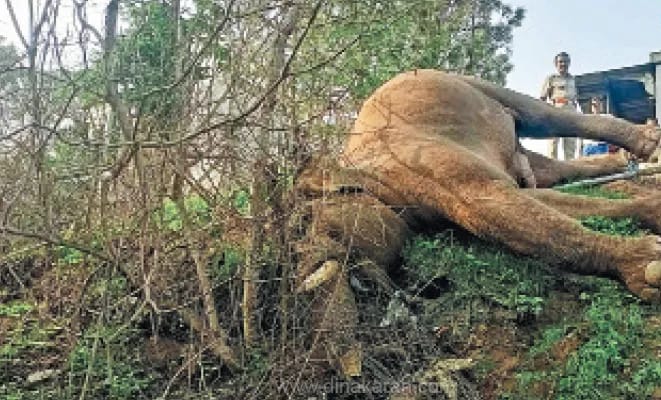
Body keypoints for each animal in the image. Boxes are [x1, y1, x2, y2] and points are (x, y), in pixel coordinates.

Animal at [292, 70, 661, 377]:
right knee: (551, 171)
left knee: (541, 115)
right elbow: (537, 201)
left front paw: (647, 267)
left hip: (466, 83)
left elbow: (495, 204)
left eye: (301, 223)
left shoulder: (415, 163)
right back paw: (626, 163)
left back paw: (649, 146)